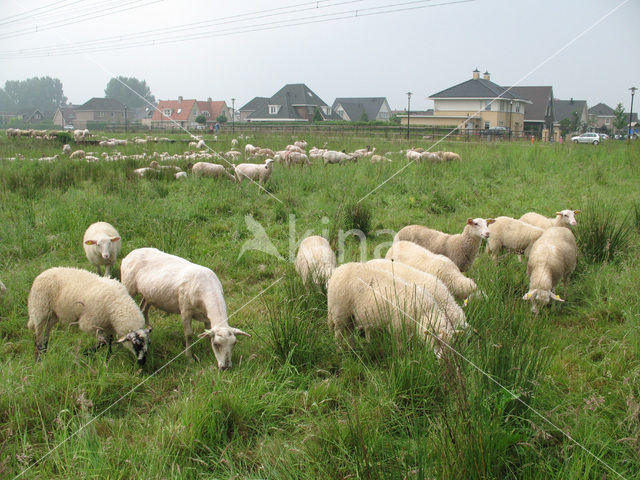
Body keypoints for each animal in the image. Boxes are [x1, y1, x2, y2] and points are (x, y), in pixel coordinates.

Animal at [120, 248, 250, 368]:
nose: (225, 367)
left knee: (143, 308)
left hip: (149, 294)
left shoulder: (207, 317)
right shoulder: (185, 312)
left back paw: (148, 328)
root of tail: (132, 253)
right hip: (128, 286)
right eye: (217, 344)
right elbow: (189, 335)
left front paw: (208, 352)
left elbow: (207, 333)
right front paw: (189, 358)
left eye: (234, 343)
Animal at [328, 260, 468, 358]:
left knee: (349, 332)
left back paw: (352, 348)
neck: (424, 312)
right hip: (340, 311)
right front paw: (402, 357)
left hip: (350, 315)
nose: (441, 360)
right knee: (338, 333)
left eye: (450, 345)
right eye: (437, 341)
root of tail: (339, 269)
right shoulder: (398, 329)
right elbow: (401, 347)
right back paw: (339, 350)